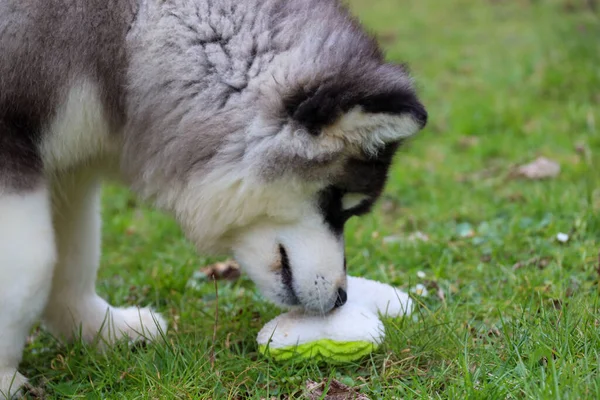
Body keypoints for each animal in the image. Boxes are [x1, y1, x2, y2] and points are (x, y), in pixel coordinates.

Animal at [1, 0, 426, 396]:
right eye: (336, 202)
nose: (341, 297)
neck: (131, 32)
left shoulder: (70, 171)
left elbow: (71, 261)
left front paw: (99, 329)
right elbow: (34, 266)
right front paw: (5, 375)